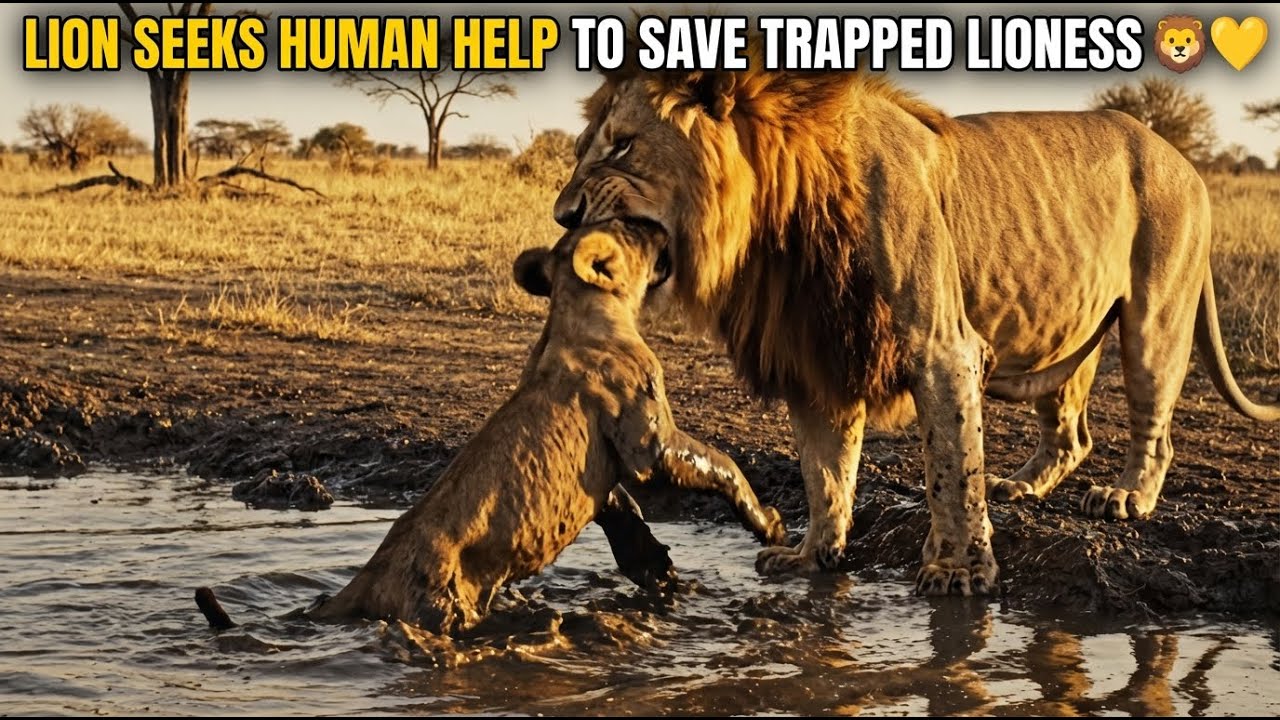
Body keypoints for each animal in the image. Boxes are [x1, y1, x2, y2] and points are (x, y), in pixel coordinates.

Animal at [200, 221, 786, 633]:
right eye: (632, 228)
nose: (660, 225)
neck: (582, 312)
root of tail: (367, 577)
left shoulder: (608, 470)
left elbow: (624, 514)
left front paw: (656, 570)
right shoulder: (648, 444)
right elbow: (719, 463)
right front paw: (767, 522)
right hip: (443, 605)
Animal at [549, 50, 1279, 596]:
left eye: (621, 146)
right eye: (582, 146)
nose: (562, 214)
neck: (773, 227)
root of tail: (1181, 156)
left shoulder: (939, 342)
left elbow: (949, 465)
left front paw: (957, 569)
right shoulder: (817, 350)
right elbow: (824, 472)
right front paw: (813, 555)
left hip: (1154, 317)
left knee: (1155, 432)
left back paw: (1125, 498)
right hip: (1063, 330)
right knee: (1072, 434)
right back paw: (1021, 485)